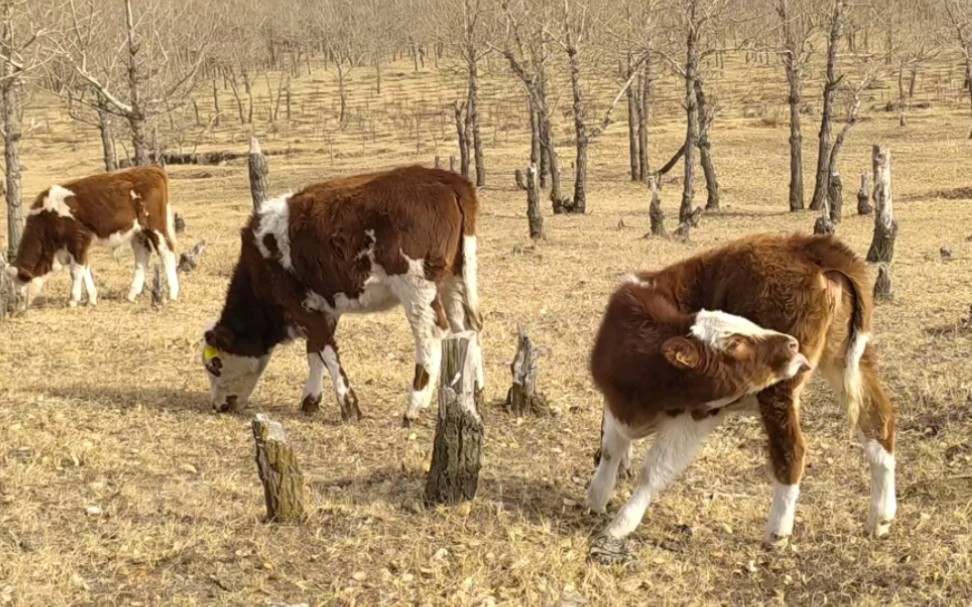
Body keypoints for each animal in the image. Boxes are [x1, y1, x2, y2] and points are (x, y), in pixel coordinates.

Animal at [5, 166, 179, 308]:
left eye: (19, 291)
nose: (14, 309)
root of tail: (152, 169)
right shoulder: (77, 246)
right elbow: (85, 268)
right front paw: (92, 298)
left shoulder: (78, 239)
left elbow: (76, 271)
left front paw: (73, 300)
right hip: (137, 233)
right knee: (142, 255)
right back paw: (132, 294)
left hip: (156, 226)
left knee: (166, 252)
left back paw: (173, 293)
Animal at [200, 164, 482, 426]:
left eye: (214, 365)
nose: (218, 406)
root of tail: (448, 180)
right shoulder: (323, 306)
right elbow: (314, 351)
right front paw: (311, 400)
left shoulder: (300, 306)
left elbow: (327, 352)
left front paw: (349, 407)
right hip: (455, 278)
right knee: (468, 326)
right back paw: (475, 391)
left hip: (417, 287)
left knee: (432, 333)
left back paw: (414, 407)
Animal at [584, 234, 896, 560]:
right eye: (735, 342)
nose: (790, 343)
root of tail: (810, 248)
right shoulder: (615, 403)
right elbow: (611, 449)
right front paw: (598, 496)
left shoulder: (699, 415)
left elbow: (655, 469)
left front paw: (621, 524)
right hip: (848, 360)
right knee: (878, 422)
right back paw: (880, 518)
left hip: (779, 390)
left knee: (791, 451)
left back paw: (778, 533)